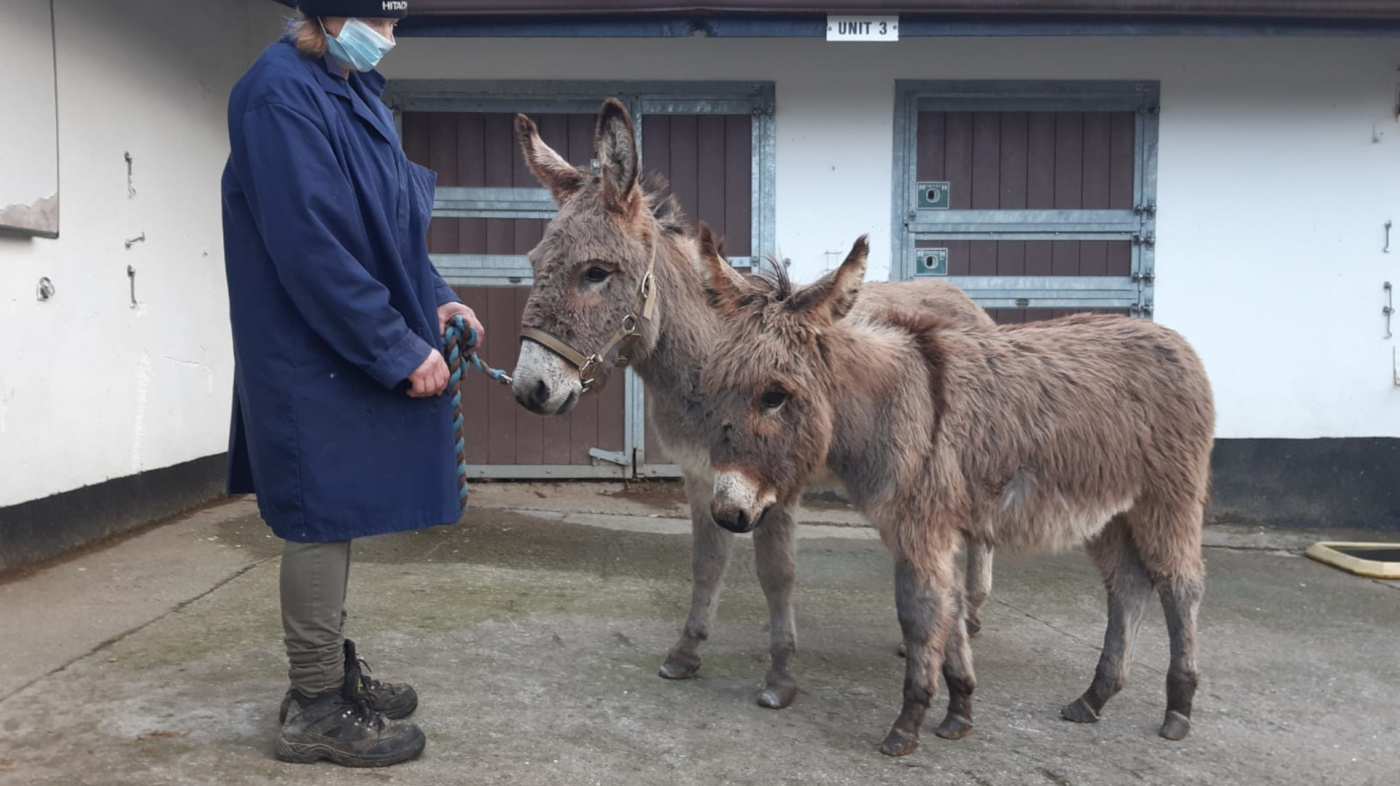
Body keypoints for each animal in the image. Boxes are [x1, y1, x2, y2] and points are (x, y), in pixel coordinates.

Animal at [697, 231, 1215, 756]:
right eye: (715, 389)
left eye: (774, 396)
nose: (726, 513)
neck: (890, 407)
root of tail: (1176, 340)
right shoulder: (924, 529)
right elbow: (950, 606)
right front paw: (959, 709)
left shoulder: (920, 527)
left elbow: (921, 613)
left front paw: (907, 723)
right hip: (1108, 513)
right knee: (1128, 586)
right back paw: (1094, 697)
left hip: (1166, 500)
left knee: (1181, 585)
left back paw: (1178, 709)